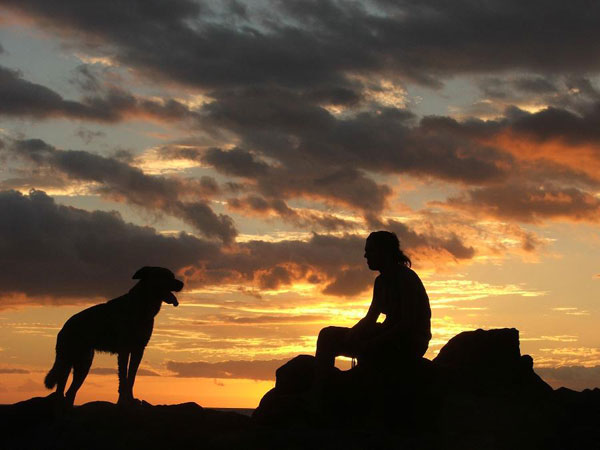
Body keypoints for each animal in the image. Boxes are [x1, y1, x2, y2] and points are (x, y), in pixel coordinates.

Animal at [44, 266, 182, 406]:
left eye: (172, 275)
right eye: (166, 276)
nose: (182, 284)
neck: (141, 305)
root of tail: (64, 328)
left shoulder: (138, 350)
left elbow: (131, 378)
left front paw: (130, 399)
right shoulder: (124, 350)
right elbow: (124, 378)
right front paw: (123, 401)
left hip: (83, 365)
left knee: (70, 392)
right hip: (67, 361)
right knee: (61, 387)